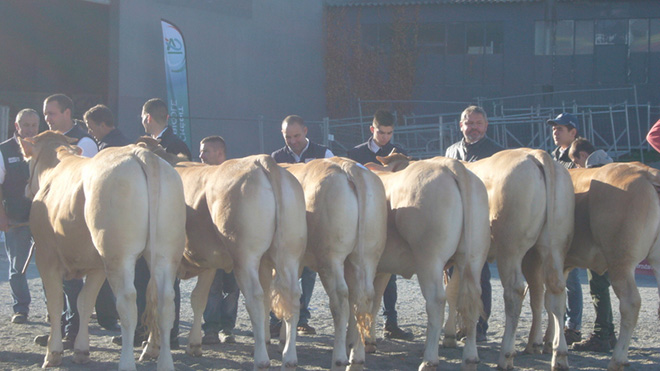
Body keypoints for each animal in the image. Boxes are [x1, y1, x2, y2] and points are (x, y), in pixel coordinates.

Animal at [21, 132, 186, 371]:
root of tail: (142, 153)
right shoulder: (96, 265)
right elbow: (84, 302)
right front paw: (81, 350)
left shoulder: (46, 255)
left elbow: (56, 303)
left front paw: (53, 353)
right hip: (166, 252)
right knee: (166, 303)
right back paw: (163, 362)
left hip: (118, 256)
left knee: (127, 302)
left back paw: (126, 363)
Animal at [173, 155, 306, 371]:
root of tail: (261, 160)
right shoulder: (209, 261)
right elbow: (199, 298)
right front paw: (194, 345)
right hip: (289, 256)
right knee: (291, 297)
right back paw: (289, 357)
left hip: (245, 258)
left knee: (255, 298)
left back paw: (261, 359)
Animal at [282, 158, 386, 370]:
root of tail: (349, 167)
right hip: (367, 256)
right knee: (362, 297)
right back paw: (357, 356)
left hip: (330, 259)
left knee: (340, 300)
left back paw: (339, 358)